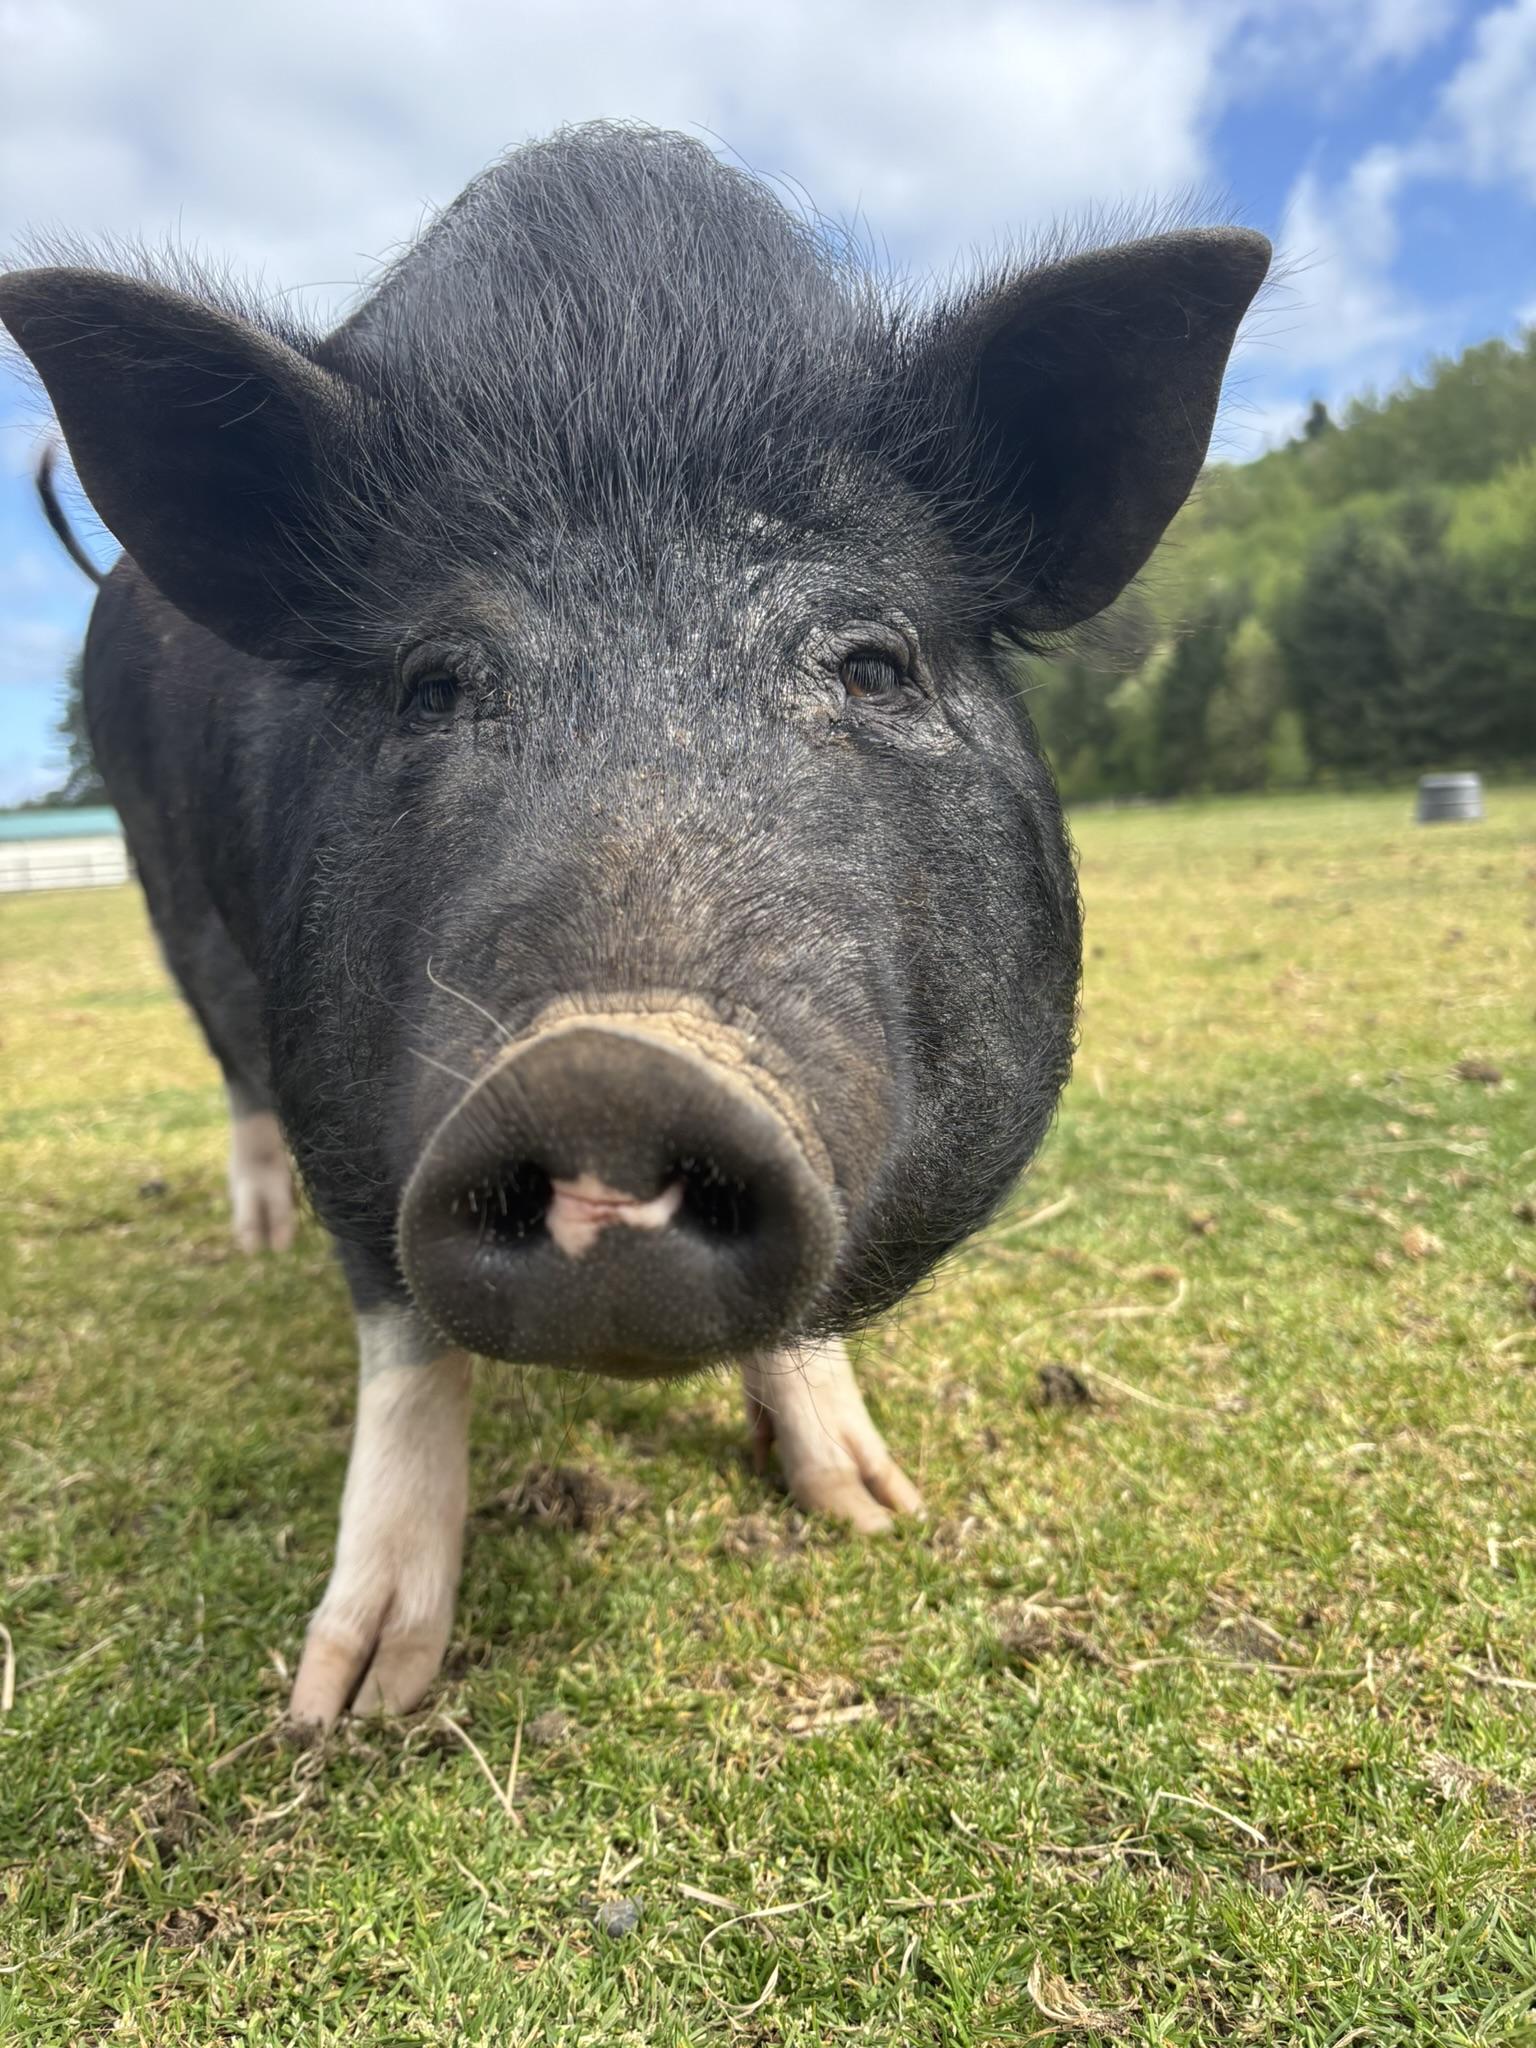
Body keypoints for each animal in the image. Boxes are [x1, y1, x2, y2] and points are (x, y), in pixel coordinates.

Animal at [2, 124, 1267, 1728]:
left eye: (873, 662)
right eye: (431, 683)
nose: (606, 1061)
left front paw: (872, 1509)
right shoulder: (340, 1082)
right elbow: (401, 1338)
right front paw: (348, 1701)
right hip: (171, 897)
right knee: (230, 1070)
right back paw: (250, 1244)